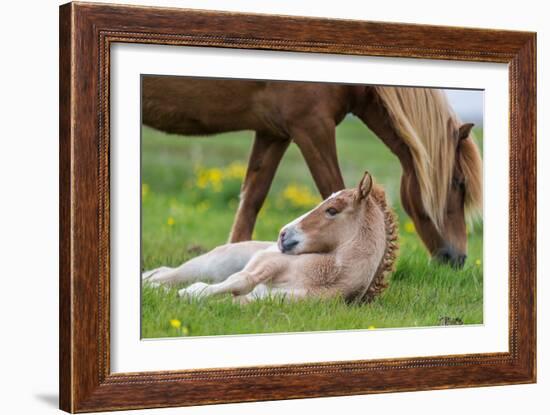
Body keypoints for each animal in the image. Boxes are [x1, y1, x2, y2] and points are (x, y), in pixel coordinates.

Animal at [143, 77, 484, 270]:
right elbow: (335, 188)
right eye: (459, 183)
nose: (458, 259)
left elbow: (252, 198)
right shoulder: (312, 127)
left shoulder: (273, 133)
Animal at [143, 173, 396, 306]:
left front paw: (185, 295)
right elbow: (242, 280)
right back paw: (152, 284)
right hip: (210, 265)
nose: (283, 235)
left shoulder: (270, 300)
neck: (328, 276)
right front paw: (189, 293)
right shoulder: (267, 263)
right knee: (168, 274)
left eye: (332, 210)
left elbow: (233, 300)